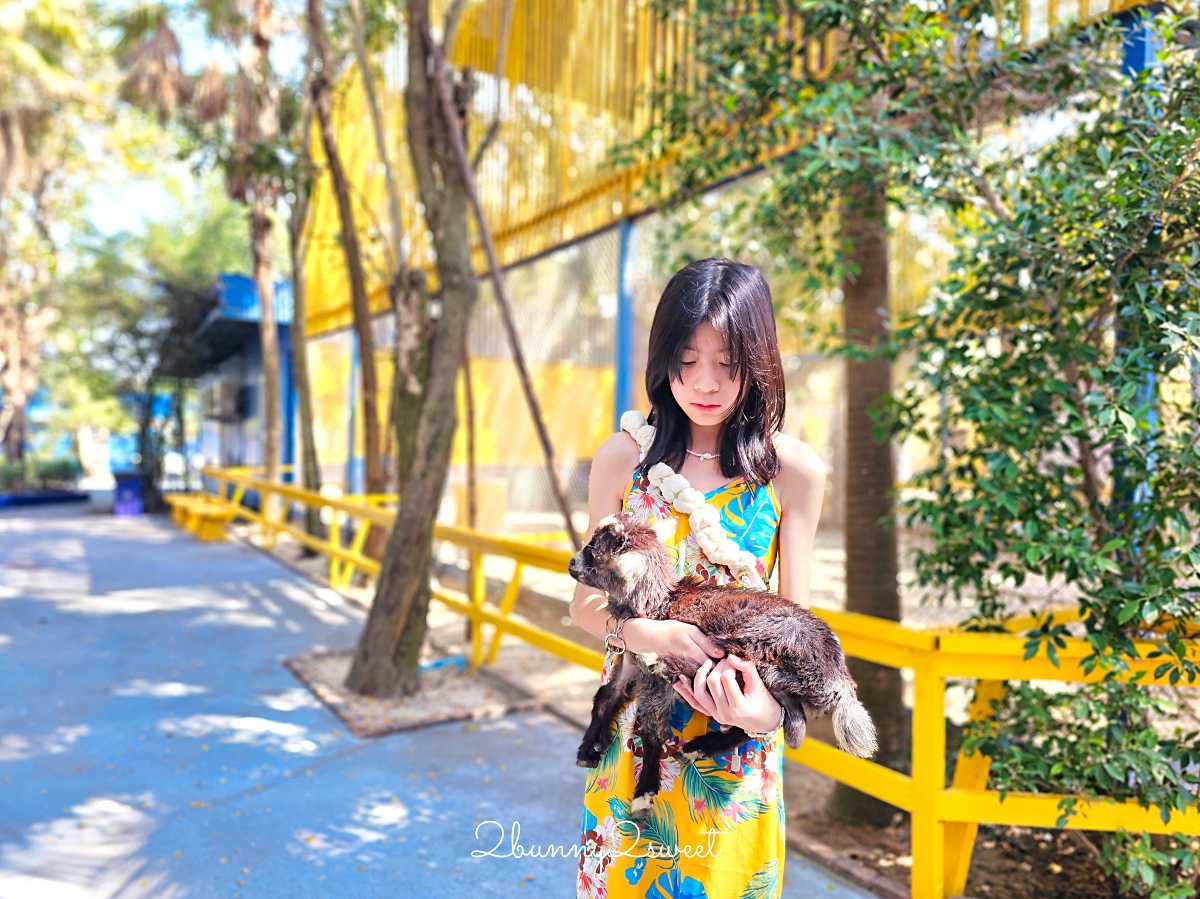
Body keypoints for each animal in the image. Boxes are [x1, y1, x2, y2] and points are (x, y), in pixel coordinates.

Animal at [566, 511, 878, 811]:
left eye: (595, 552)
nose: (571, 563)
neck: (660, 602)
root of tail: (839, 678)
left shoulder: (655, 684)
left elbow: (651, 729)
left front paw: (644, 793)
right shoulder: (628, 661)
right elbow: (606, 696)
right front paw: (588, 750)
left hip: (761, 642)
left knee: (715, 682)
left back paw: (658, 662)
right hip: (775, 682)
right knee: (771, 725)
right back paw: (696, 747)